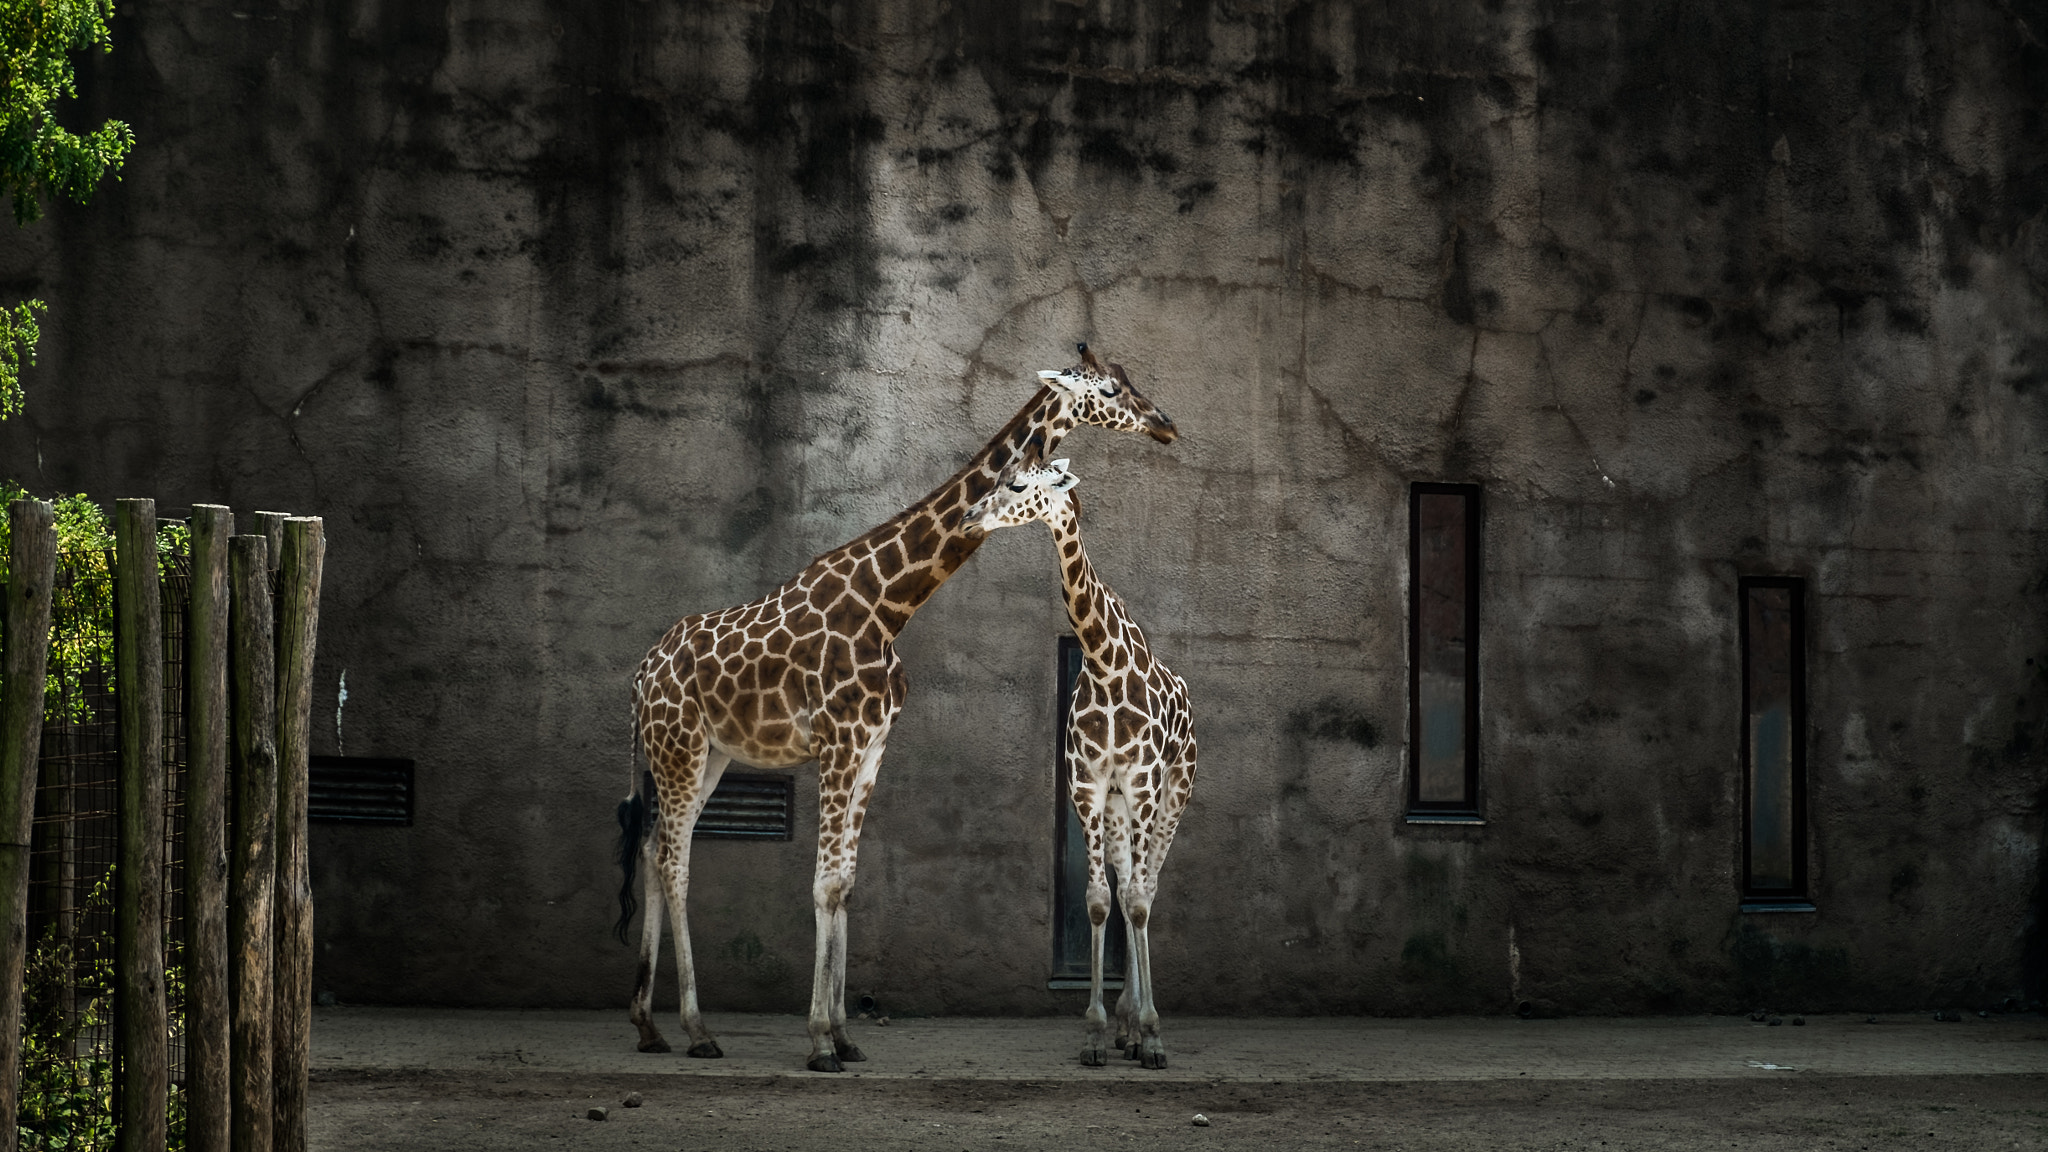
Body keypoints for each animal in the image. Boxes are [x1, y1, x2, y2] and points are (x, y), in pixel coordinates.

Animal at [965, 458, 1197, 1070]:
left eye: (1020, 484)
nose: (970, 517)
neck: (1102, 658)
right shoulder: (1089, 784)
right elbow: (1097, 902)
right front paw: (1096, 1030)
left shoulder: (1141, 782)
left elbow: (1137, 902)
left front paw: (1153, 1035)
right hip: (1117, 808)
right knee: (1126, 880)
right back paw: (1124, 1025)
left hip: (1174, 792)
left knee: (1148, 886)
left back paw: (1140, 1029)